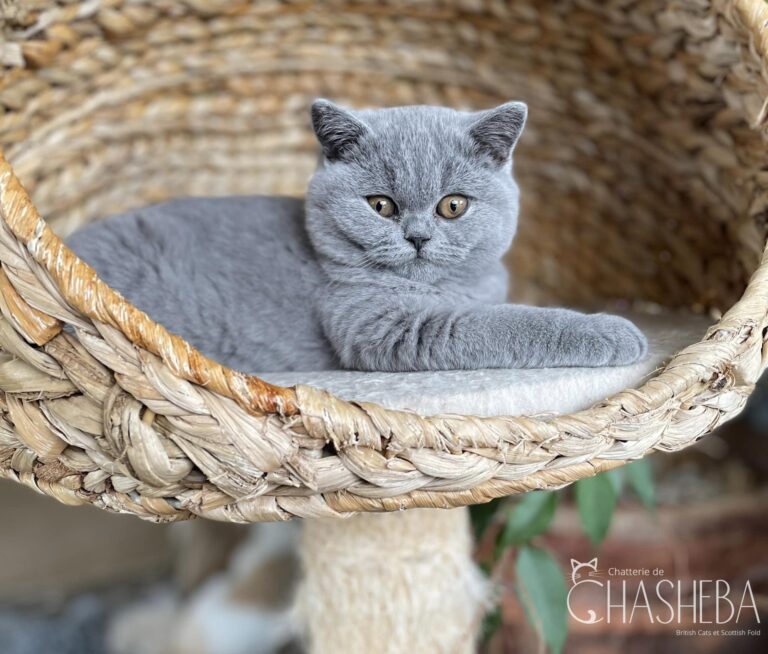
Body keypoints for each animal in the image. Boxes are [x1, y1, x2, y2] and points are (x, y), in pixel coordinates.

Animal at [69, 99, 648, 372]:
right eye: (381, 206)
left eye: (453, 206)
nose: (418, 237)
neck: (454, 287)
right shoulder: (381, 323)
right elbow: (507, 324)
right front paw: (614, 332)